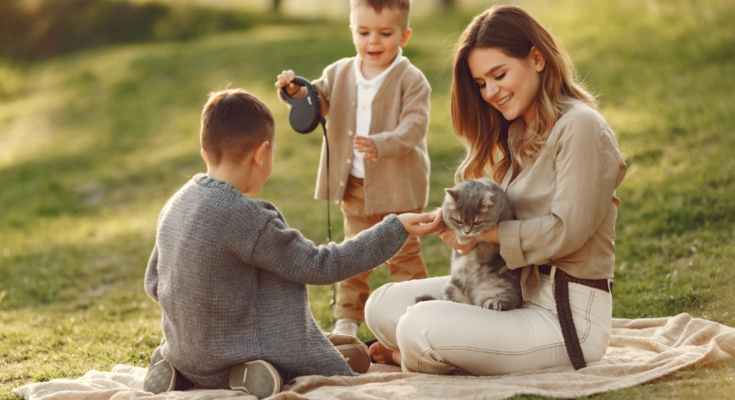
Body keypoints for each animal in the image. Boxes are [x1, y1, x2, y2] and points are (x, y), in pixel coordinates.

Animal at [420, 179, 524, 312]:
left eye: (477, 223)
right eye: (458, 221)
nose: (466, 232)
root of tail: (474, 299)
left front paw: (464, 238)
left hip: (504, 288)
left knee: (504, 301)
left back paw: (492, 303)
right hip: (451, 288)